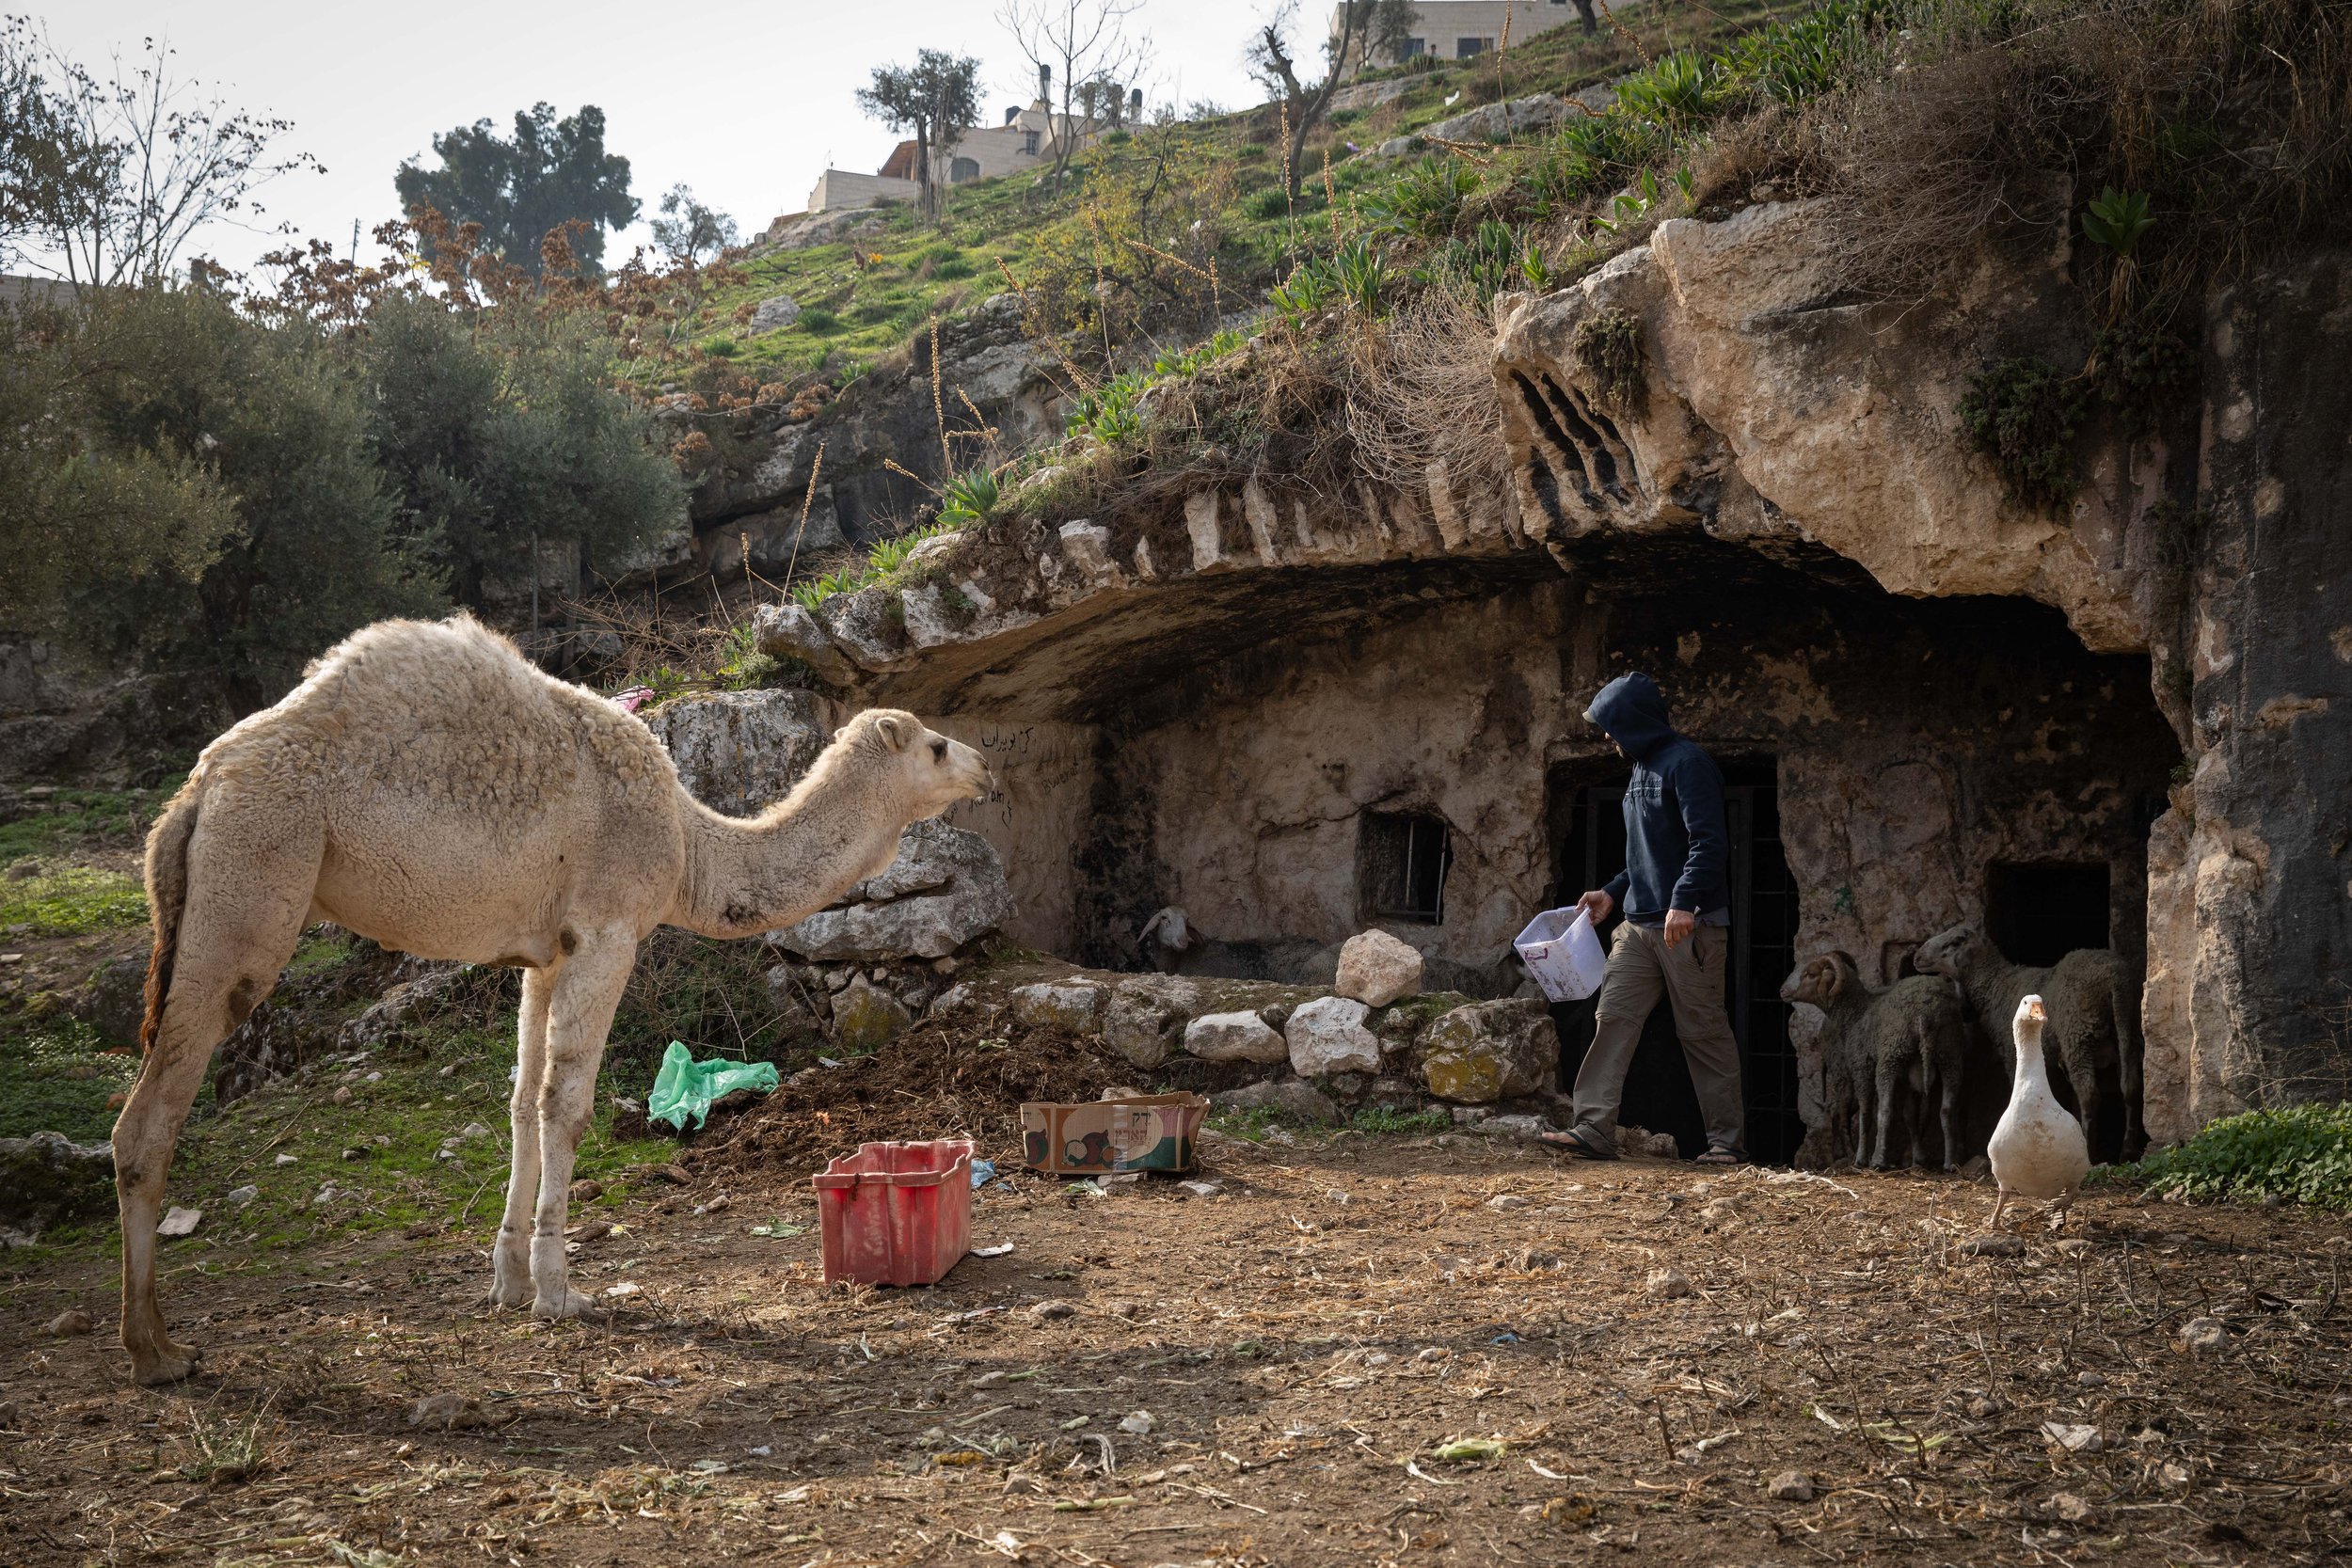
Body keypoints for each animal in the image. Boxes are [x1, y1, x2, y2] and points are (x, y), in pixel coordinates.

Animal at [112, 610, 993, 1382]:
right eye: (935, 744)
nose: (983, 764)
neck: (690, 845)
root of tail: (196, 791)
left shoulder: (542, 953)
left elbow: (520, 1101)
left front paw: (506, 1280)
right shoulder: (608, 930)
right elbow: (565, 1105)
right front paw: (560, 1291)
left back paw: (158, 1341)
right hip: (253, 877)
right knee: (150, 1119)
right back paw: (155, 1351)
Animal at [1788, 949, 1976, 1170]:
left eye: (1809, 974)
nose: (1783, 991)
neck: (1856, 1013)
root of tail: (1925, 1012)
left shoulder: (1862, 1067)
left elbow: (1866, 1114)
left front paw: (1861, 1159)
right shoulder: (1907, 1077)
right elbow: (1910, 1116)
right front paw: (1918, 1158)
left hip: (1890, 1057)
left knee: (1884, 1110)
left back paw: (1877, 1160)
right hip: (1949, 1053)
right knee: (1947, 1109)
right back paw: (1950, 1163)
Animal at [1919, 921, 2145, 1165]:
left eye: (1955, 942)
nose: (1917, 956)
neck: (1998, 986)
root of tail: (2115, 979)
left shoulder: (2013, 1053)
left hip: (2078, 1035)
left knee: (2089, 1094)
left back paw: (2090, 1152)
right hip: (2128, 1031)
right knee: (2131, 1086)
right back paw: (2129, 1151)